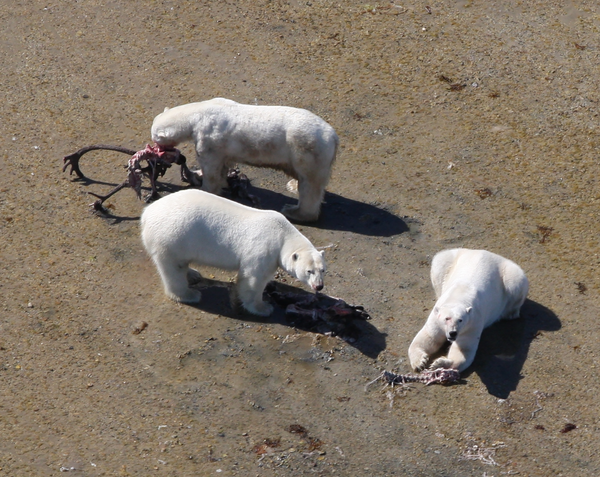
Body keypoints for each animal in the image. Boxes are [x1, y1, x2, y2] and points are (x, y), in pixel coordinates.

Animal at [140, 187, 326, 316]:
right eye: (309, 271)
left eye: (323, 270)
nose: (319, 286)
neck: (283, 234)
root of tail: (146, 214)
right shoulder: (264, 249)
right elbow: (253, 279)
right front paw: (263, 308)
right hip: (172, 237)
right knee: (174, 268)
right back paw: (189, 294)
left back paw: (193, 274)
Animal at [150, 98, 338, 223]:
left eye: (155, 137)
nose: (154, 146)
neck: (199, 113)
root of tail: (334, 137)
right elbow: (223, 166)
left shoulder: (209, 137)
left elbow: (211, 168)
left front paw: (204, 188)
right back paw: (292, 185)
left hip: (306, 149)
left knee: (310, 185)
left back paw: (294, 211)